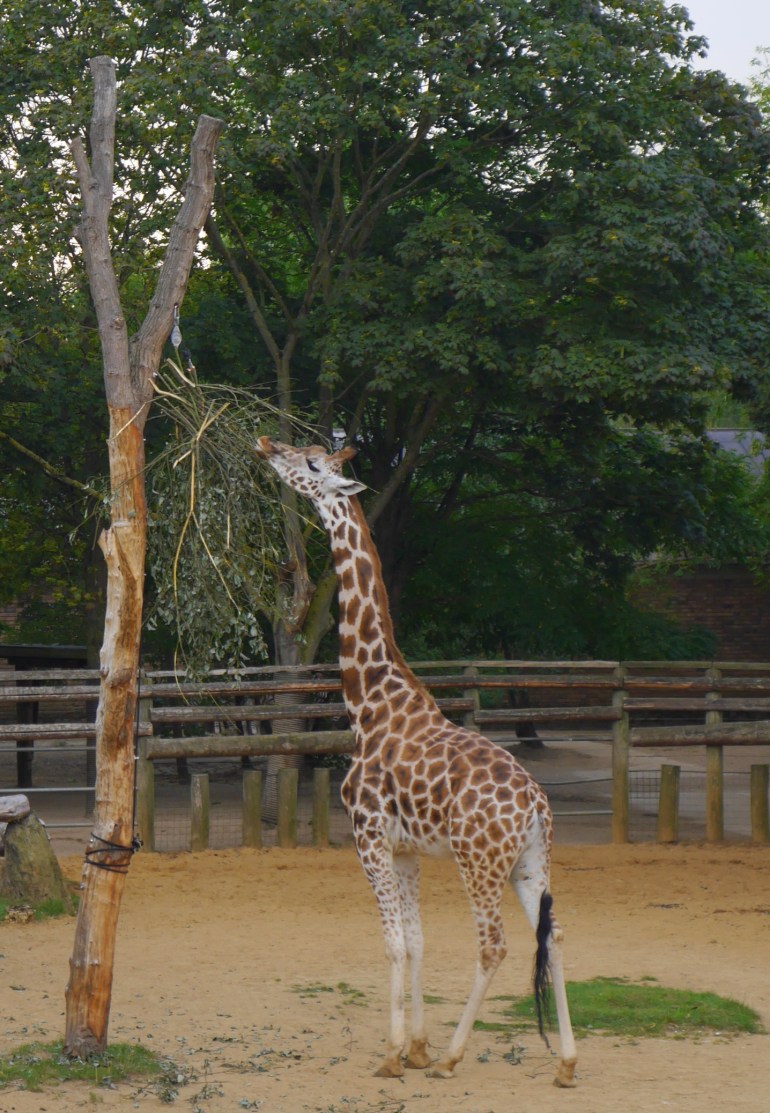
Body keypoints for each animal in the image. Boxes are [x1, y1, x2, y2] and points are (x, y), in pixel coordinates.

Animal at [256, 436, 577, 1088]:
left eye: (311, 464)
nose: (267, 444)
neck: (369, 702)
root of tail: (536, 806)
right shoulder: (406, 850)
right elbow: (420, 940)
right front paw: (417, 1047)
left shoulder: (369, 838)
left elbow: (394, 943)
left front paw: (394, 1055)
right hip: (530, 863)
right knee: (554, 936)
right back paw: (565, 1064)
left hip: (479, 862)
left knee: (495, 945)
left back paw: (455, 1057)